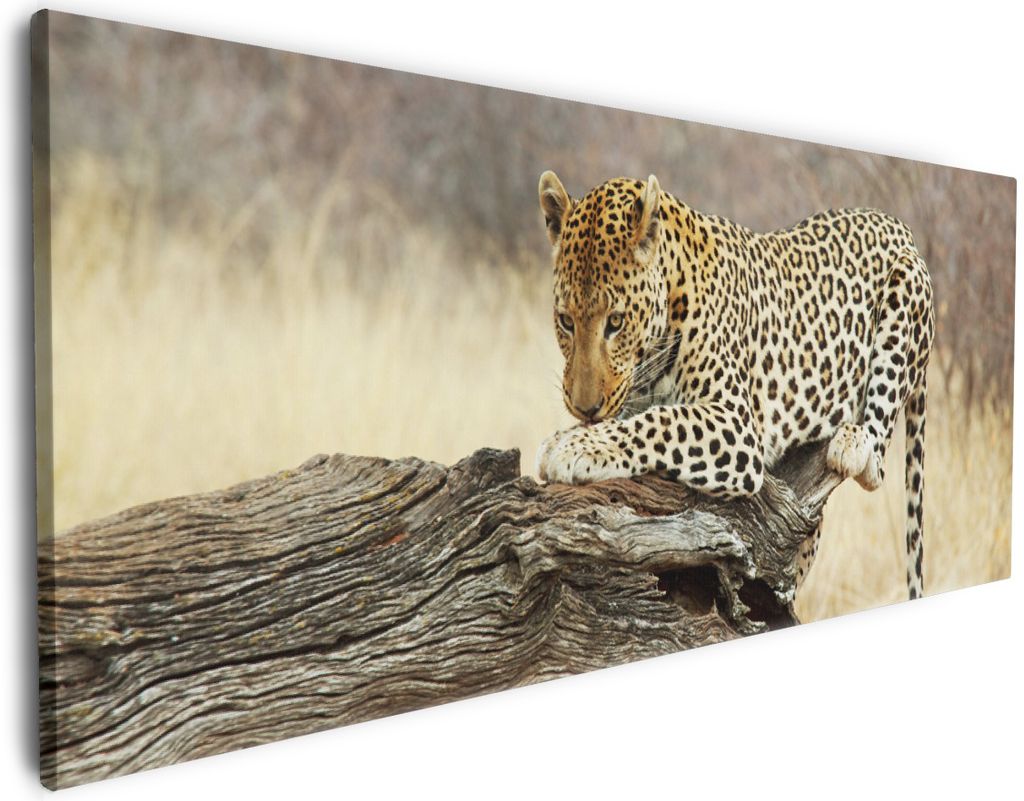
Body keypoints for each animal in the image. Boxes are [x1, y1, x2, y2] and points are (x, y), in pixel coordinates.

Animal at [534, 171, 935, 599]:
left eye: (616, 321)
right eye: (565, 321)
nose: (584, 407)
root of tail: (900, 226)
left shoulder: (735, 422)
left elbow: (659, 422)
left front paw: (571, 447)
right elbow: (634, 418)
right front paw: (572, 434)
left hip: (907, 288)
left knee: (876, 459)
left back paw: (853, 443)